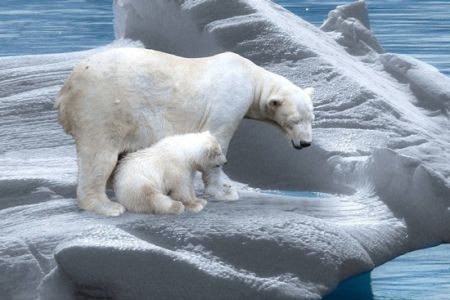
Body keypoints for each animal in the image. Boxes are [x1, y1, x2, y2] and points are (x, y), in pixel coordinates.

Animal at [56, 47, 314, 216]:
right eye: (294, 121)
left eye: (311, 119)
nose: (306, 144)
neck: (251, 77)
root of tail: (66, 89)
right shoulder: (228, 103)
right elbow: (218, 138)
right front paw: (225, 191)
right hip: (102, 106)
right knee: (100, 156)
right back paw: (108, 206)